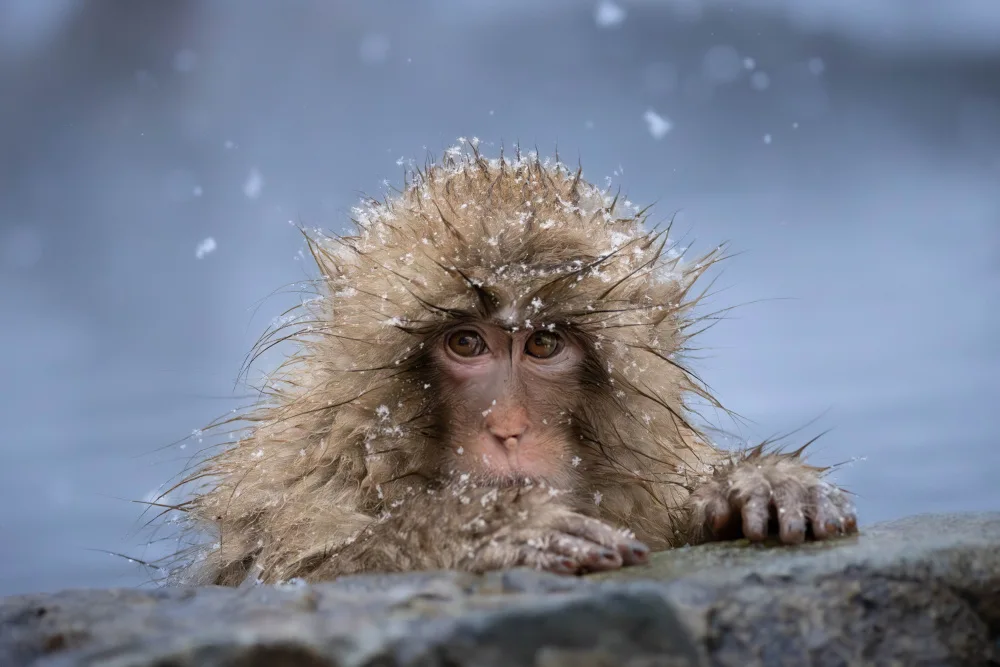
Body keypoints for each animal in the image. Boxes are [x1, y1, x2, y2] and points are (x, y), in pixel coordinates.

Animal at [166, 140, 857, 587]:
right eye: (467, 344)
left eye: (543, 344)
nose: (507, 428)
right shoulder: (293, 485)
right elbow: (292, 574)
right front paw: (486, 532)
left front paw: (758, 484)